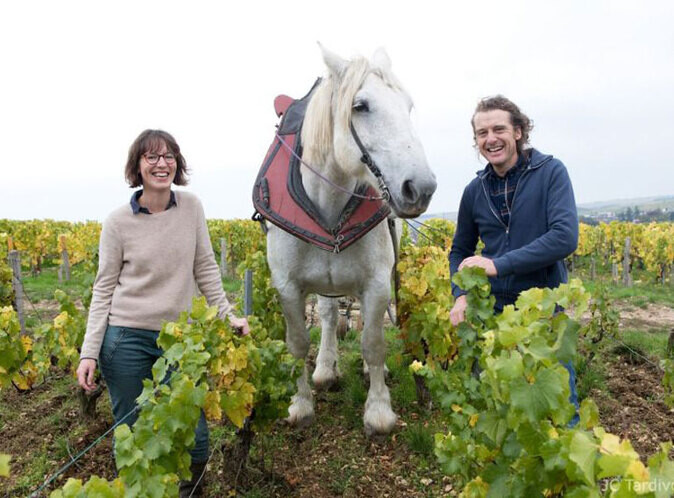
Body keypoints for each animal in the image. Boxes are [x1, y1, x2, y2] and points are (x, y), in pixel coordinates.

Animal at [268, 47, 436, 436]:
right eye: (360, 106)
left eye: (407, 105)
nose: (421, 188)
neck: (328, 206)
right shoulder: (287, 286)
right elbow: (297, 343)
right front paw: (300, 405)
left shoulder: (376, 283)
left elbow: (373, 343)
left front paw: (378, 410)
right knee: (329, 315)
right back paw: (325, 368)